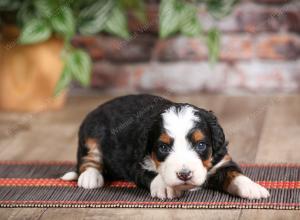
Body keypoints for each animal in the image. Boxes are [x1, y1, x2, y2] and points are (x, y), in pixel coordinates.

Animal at [61, 93, 270, 200]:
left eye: (201, 145)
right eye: (163, 148)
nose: (184, 174)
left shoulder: (220, 160)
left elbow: (234, 174)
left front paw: (252, 188)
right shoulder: (134, 161)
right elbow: (151, 174)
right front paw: (165, 187)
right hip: (91, 133)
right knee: (89, 159)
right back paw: (90, 177)